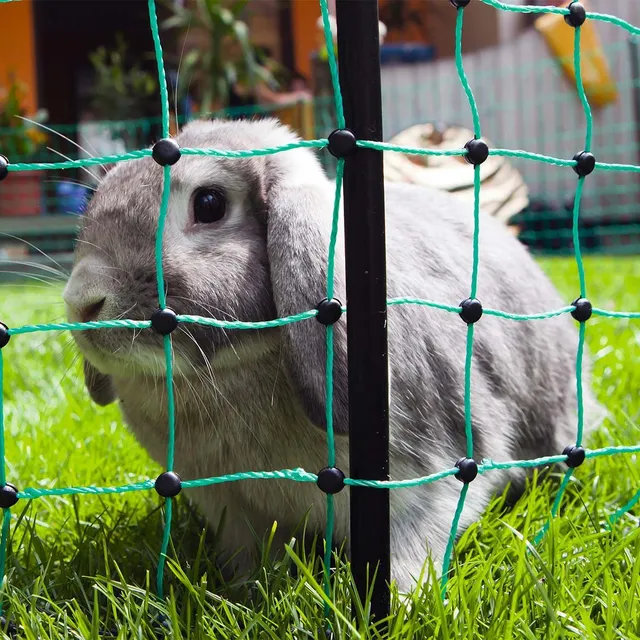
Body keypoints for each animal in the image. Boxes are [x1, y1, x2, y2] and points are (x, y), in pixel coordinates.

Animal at [62, 117, 605, 594]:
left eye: (210, 204)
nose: (82, 302)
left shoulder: (426, 484)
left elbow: (412, 549)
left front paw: (401, 603)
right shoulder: (233, 509)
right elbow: (248, 558)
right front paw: (243, 593)